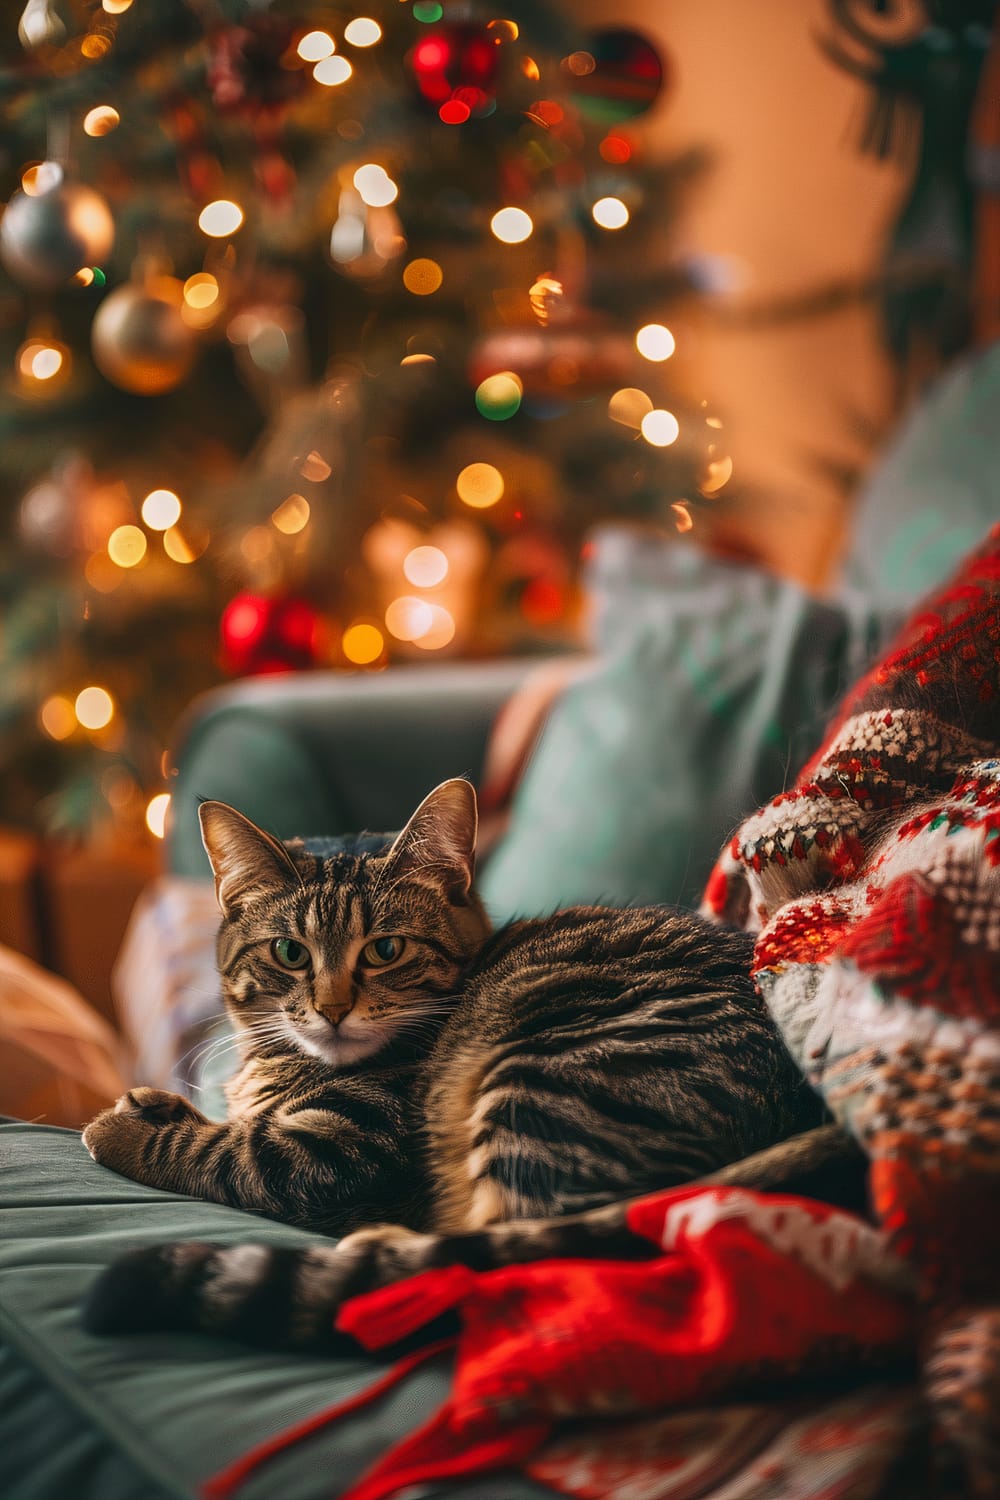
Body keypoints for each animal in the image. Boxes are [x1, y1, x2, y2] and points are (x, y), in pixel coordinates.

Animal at [83, 786, 821, 1350]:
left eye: (384, 949)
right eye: (290, 953)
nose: (332, 1009)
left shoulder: (344, 1146)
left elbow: (224, 1150)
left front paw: (127, 1129)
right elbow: (224, 1121)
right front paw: (158, 1103)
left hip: (547, 1082)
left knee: (519, 1259)